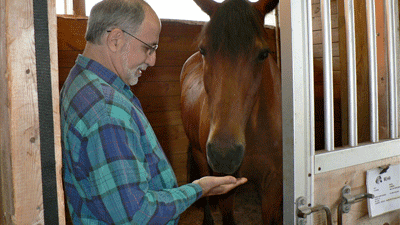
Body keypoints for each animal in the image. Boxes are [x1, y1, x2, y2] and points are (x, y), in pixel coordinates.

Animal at [180, 0, 282, 223]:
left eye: (263, 54)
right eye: (203, 50)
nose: (224, 155)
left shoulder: (272, 185)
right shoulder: (224, 187)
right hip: (200, 156)